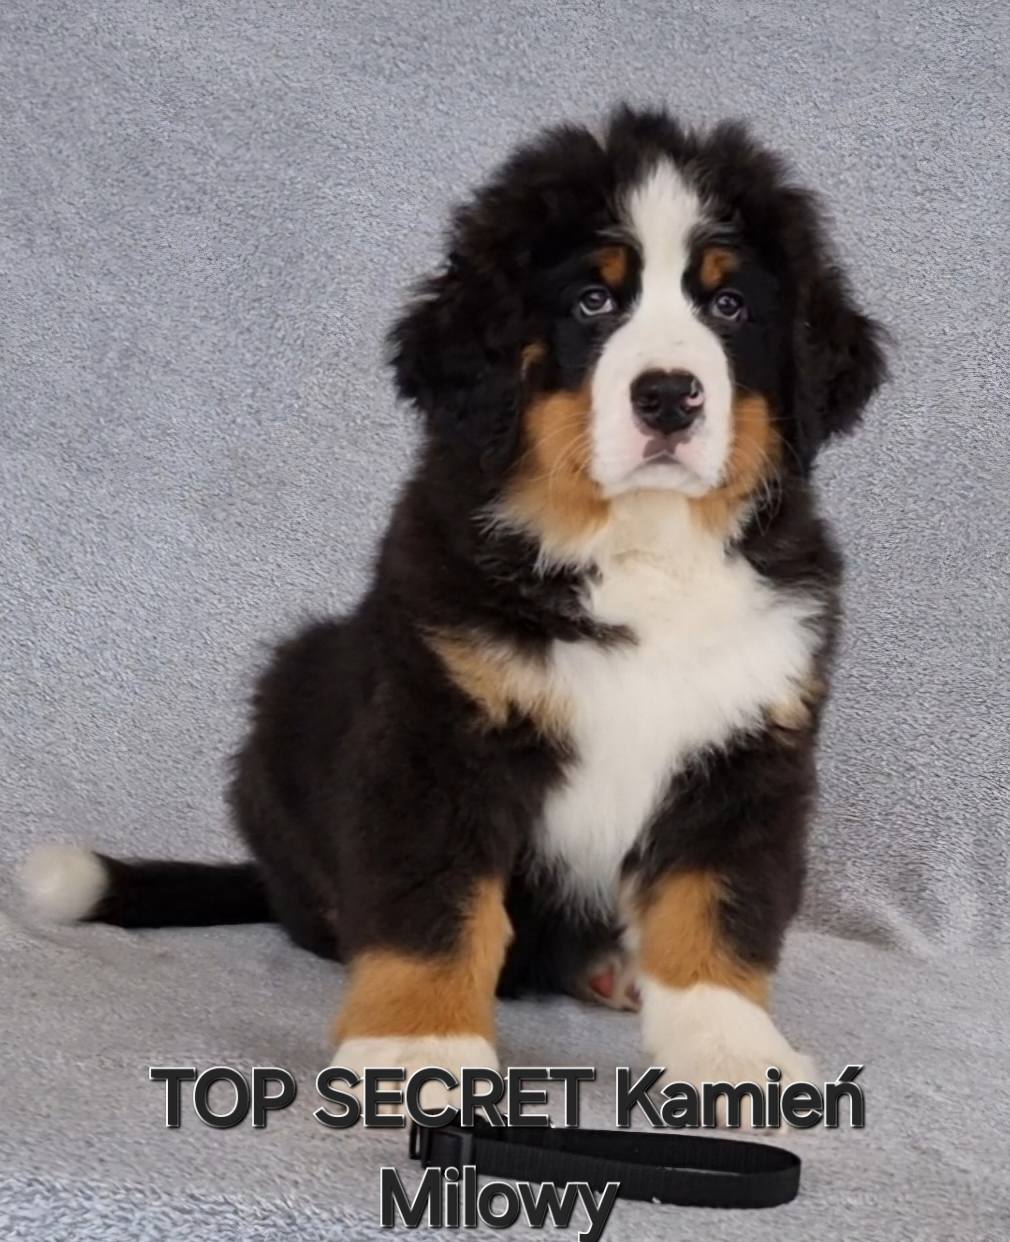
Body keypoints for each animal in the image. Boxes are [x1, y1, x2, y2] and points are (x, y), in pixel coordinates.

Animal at [23, 105, 886, 1110]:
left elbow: (716, 911)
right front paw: (417, 1049)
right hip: (297, 688)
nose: (671, 397)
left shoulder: (744, 747)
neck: (638, 547)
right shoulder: (437, 729)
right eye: (593, 304)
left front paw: (734, 1058)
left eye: (730, 307)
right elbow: (434, 907)